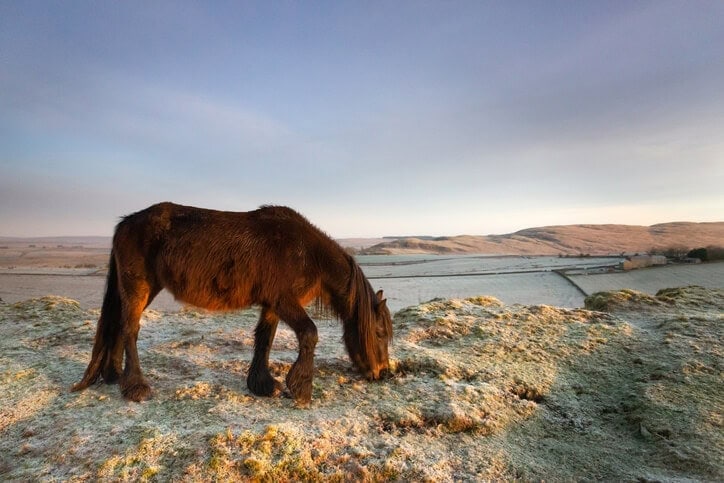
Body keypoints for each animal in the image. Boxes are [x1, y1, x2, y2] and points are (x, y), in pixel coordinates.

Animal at [71, 202, 393, 406]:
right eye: (379, 333)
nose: (383, 373)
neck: (306, 253)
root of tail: (125, 223)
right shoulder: (284, 301)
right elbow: (309, 333)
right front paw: (300, 388)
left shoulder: (273, 304)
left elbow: (264, 339)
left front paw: (262, 384)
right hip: (138, 287)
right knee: (130, 329)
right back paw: (136, 387)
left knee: (117, 326)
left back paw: (115, 377)